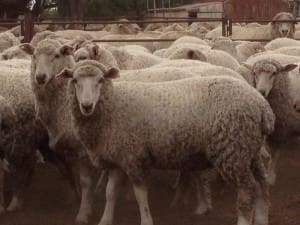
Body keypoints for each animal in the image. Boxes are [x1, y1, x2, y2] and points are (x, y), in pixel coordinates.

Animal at [57, 59, 276, 225]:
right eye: (74, 80)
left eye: (101, 80)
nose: (86, 105)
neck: (114, 105)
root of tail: (261, 106)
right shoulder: (118, 158)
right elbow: (110, 193)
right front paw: (105, 220)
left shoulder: (133, 157)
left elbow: (140, 195)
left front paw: (146, 220)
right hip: (249, 150)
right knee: (262, 185)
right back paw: (262, 219)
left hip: (233, 151)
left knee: (248, 189)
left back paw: (245, 220)